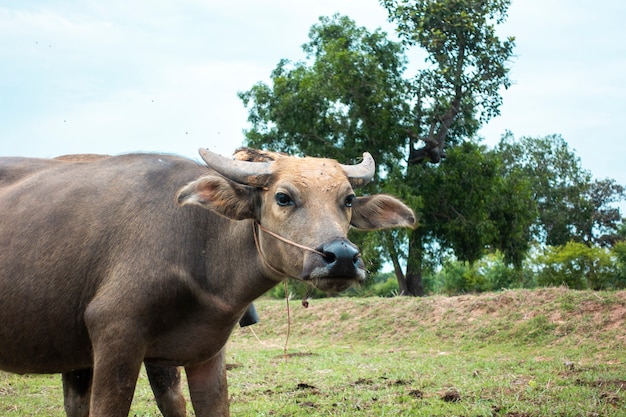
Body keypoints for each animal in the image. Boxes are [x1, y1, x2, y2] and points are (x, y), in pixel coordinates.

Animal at [0, 148, 414, 414]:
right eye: (283, 197)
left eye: (348, 199)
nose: (341, 257)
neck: (200, 244)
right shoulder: (116, 338)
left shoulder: (205, 353)